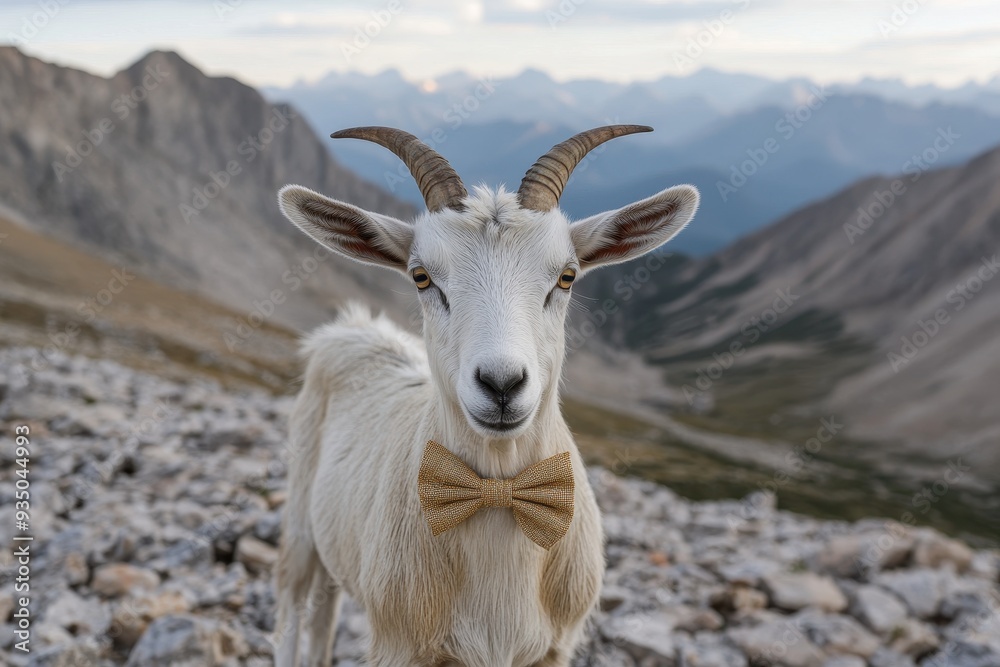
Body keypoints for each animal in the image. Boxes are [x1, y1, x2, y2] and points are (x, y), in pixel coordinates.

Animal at [273, 125, 699, 667]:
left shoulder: (554, 649)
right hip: (299, 523)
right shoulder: (398, 644)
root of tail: (352, 327)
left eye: (567, 276)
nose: (501, 384)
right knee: (290, 611)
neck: (498, 494)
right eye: (421, 276)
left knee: (324, 616)